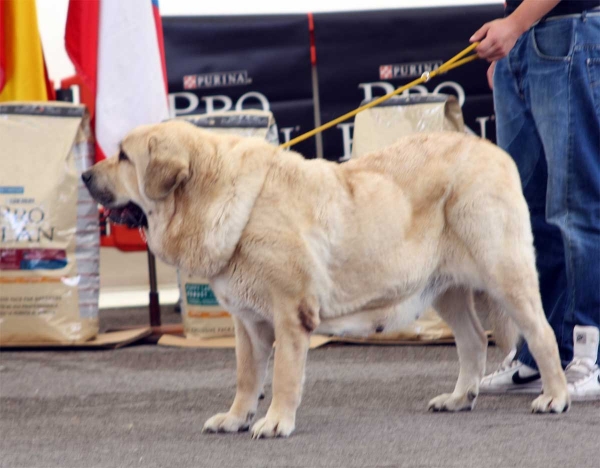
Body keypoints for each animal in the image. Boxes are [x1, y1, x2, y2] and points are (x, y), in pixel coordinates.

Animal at [82, 119, 568, 438]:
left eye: (124, 157)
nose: (85, 174)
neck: (214, 198)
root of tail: (491, 148)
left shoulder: (289, 315)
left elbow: (282, 374)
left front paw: (275, 421)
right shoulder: (247, 323)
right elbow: (246, 376)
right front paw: (236, 417)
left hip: (505, 275)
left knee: (541, 334)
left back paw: (555, 397)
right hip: (443, 289)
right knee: (472, 340)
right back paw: (459, 397)